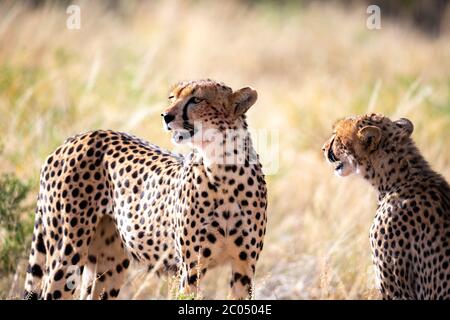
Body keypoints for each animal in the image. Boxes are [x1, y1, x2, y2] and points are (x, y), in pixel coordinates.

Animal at [23, 80, 268, 300]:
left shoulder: (244, 266)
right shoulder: (191, 268)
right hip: (67, 252)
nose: (166, 116)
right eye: (172, 97)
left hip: (108, 262)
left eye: (197, 100)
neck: (224, 169)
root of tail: (76, 138)